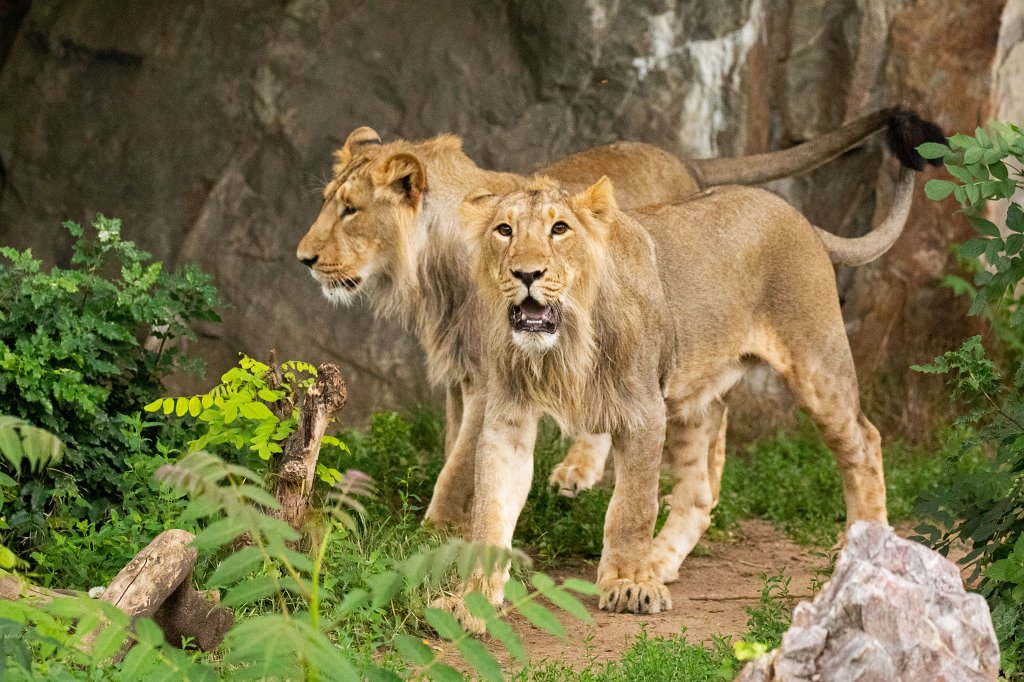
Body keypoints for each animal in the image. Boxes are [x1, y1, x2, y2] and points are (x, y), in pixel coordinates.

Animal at [295, 110, 942, 529]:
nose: (303, 258)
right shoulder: (464, 376)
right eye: (327, 202)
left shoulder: (489, 379)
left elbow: (457, 468)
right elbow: (463, 451)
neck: (436, 269)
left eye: (350, 210)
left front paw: (431, 534)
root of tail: (686, 160)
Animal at [440, 172, 897, 629]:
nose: (526, 273)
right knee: (698, 497)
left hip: (817, 365)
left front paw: (628, 584)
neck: (565, 346)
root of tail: (798, 216)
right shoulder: (508, 420)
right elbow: (490, 511)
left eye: (560, 228)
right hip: (694, 401)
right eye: (504, 230)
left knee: (864, 442)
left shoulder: (643, 412)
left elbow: (632, 507)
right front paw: (471, 600)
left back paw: (864, 555)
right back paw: (658, 562)